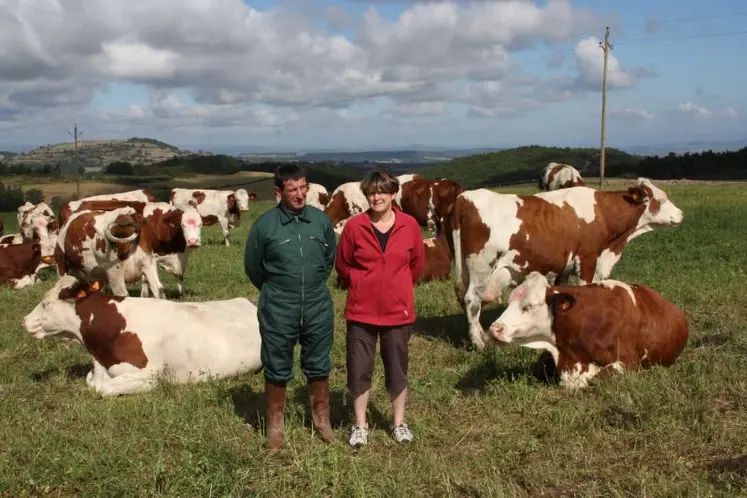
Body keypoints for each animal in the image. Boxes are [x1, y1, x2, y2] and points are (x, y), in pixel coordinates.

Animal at [23, 276, 264, 396]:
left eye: (45, 303)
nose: (23, 320)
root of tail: (248, 303)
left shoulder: (150, 374)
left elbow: (103, 389)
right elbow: (92, 382)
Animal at [448, 177, 688, 348]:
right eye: (662, 199)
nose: (681, 214)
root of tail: (464, 198)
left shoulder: (564, 267)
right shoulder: (588, 259)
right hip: (481, 267)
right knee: (471, 300)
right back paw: (478, 342)